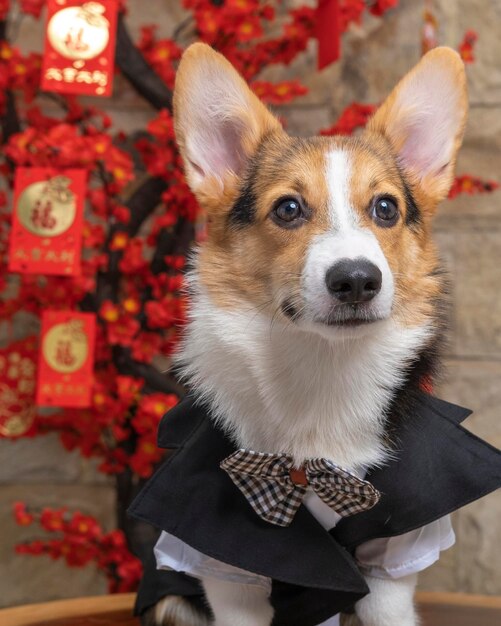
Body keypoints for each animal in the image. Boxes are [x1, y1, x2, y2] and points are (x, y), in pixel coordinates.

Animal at [146, 42, 466, 624]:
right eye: (288, 209)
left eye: (386, 207)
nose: (357, 279)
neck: (322, 370)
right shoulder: (223, 567)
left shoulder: (395, 557)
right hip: (172, 600)